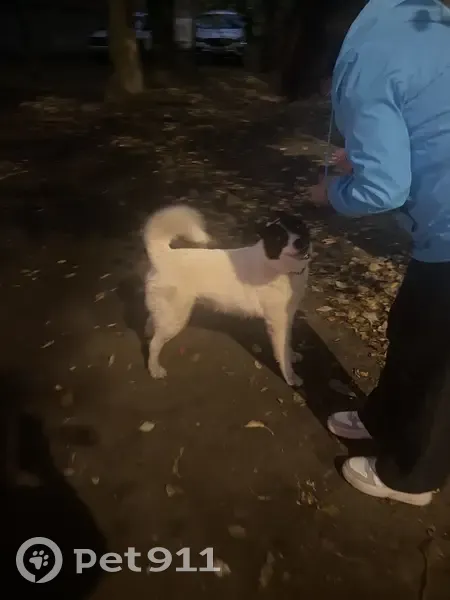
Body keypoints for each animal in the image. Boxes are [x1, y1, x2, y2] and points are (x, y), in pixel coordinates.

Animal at [143, 205, 311, 387]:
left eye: (298, 226)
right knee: (154, 345)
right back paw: (154, 369)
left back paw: (149, 331)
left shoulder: (286, 319)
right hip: (175, 319)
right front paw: (291, 377)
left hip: (167, 313)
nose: (300, 242)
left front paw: (292, 355)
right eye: (280, 238)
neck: (277, 266)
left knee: (152, 321)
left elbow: (287, 344)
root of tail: (162, 256)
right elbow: (283, 355)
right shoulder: (277, 323)